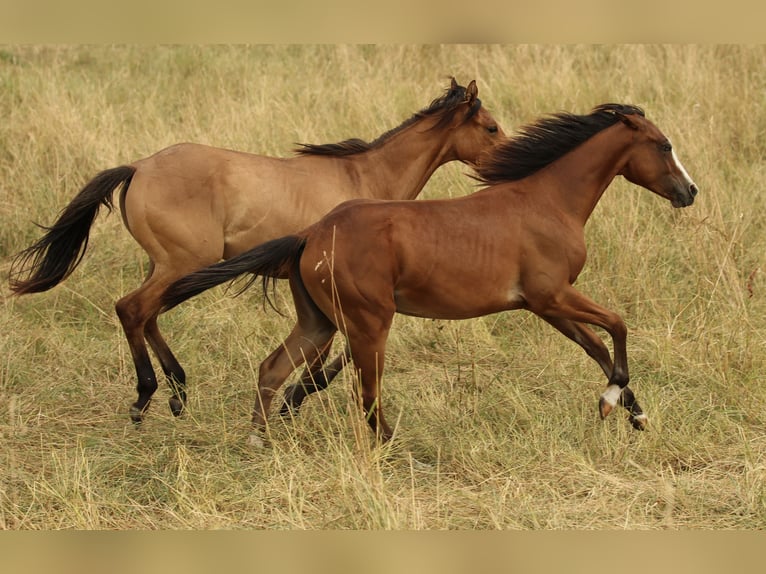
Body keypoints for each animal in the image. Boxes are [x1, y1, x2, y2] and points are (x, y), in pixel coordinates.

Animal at [8, 78, 505, 423]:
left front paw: (288, 404)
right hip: (186, 264)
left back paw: (177, 393)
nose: (505, 165)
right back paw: (147, 396)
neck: (365, 178)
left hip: (169, 267)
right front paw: (291, 404)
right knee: (133, 309)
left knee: (146, 314)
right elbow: (326, 360)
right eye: (491, 127)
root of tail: (138, 167)